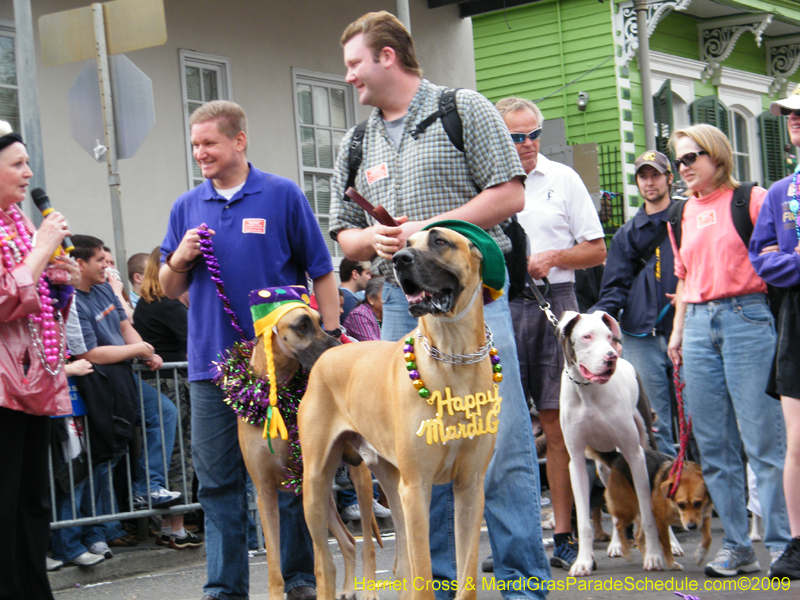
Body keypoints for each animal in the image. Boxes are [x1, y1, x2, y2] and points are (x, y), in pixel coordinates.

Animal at [219, 288, 382, 600]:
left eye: (320, 321)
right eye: (302, 325)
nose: (338, 347)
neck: (277, 397)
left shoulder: (307, 486)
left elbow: (321, 562)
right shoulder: (265, 493)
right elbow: (274, 568)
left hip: (359, 480)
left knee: (366, 543)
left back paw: (367, 590)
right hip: (323, 494)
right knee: (348, 541)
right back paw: (347, 589)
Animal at [296, 223, 504, 596]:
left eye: (440, 241)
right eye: (405, 243)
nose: (399, 259)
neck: (453, 356)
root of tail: (329, 353)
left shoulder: (470, 486)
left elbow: (465, 574)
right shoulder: (417, 487)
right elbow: (423, 571)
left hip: (389, 480)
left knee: (402, 559)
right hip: (317, 485)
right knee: (324, 562)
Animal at [556, 310, 664, 576]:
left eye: (608, 336)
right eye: (586, 336)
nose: (611, 356)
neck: (587, 392)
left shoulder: (635, 455)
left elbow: (647, 510)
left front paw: (654, 556)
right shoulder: (576, 462)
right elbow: (584, 520)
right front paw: (583, 561)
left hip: (646, 442)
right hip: (605, 467)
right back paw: (616, 542)